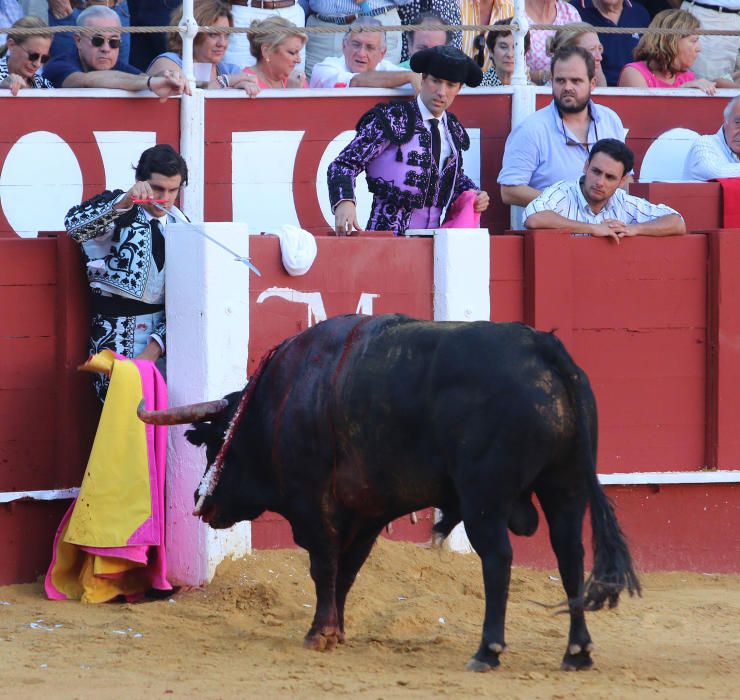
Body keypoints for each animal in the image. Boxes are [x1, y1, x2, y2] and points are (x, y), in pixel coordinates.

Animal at [142, 314, 640, 668]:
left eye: (214, 440)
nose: (199, 501)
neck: (278, 402)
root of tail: (543, 347)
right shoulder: (367, 513)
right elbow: (347, 571)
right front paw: (336, 631)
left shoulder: (312, 505)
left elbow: (324, 566)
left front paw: (318, 633)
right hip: (566, 487)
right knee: (570, 555)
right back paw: (577, 653)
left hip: (484, 500)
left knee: (498, 559)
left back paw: (488, 651)